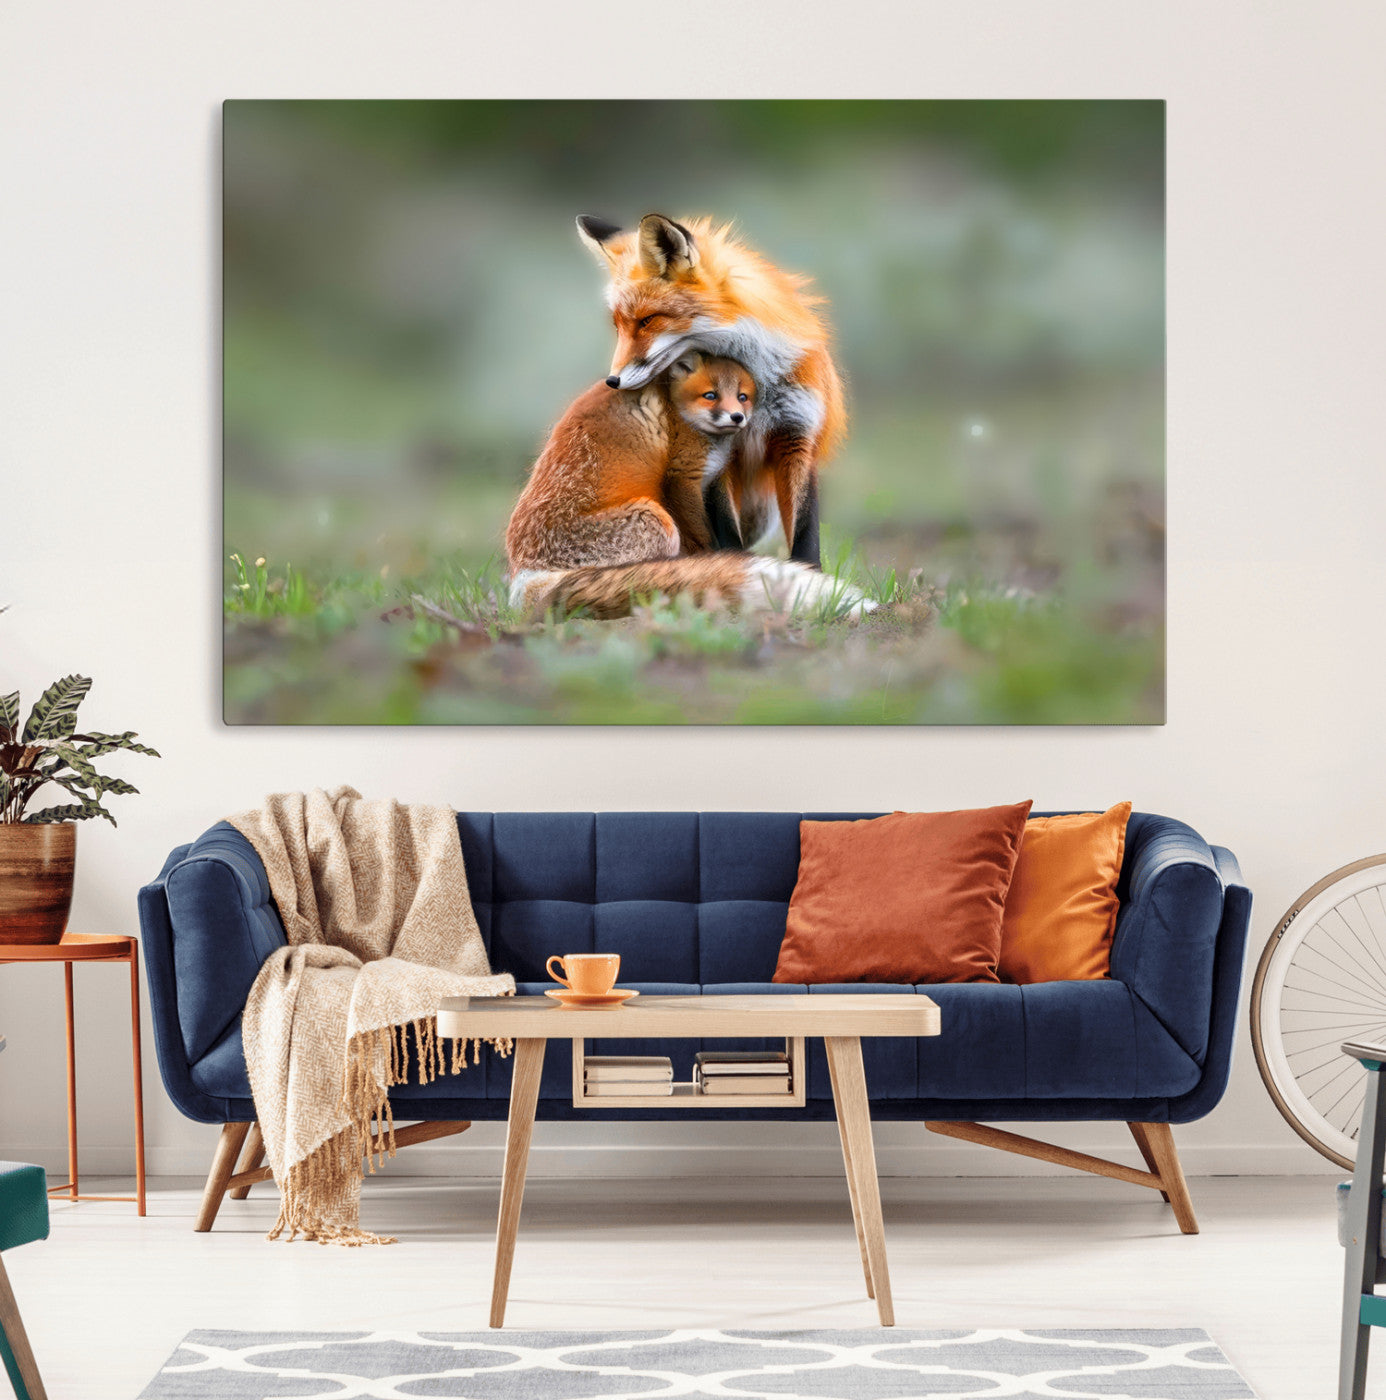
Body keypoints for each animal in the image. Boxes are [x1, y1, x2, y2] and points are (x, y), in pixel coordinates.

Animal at [576, 212, 846, 569]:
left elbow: (805, 534)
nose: (612, 381)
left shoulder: (797, 438)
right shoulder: (718, 454)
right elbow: (727, 532)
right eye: (618, 326)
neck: (757, 386)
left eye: (647, 320)